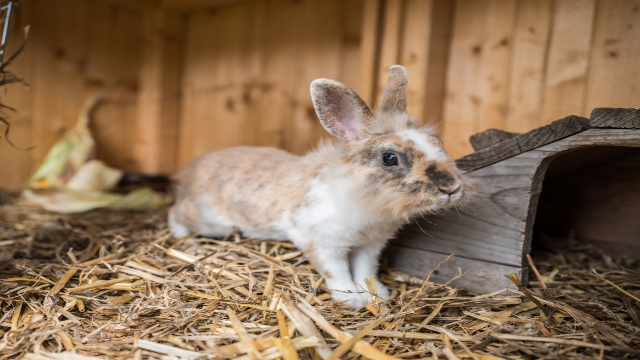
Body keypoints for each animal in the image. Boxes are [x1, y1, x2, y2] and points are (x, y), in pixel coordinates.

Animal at [168, 64, 472, 306]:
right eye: (389, 158)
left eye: (437, 143)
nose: (451, 187)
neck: (363, 197)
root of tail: (192, 170)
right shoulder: (323, 243)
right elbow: (335, 271)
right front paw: (352, 299)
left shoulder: (370, 246)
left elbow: (366, 270)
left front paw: (377, 295)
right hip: (210, 221)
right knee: (175, 213)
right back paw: (184, 241)